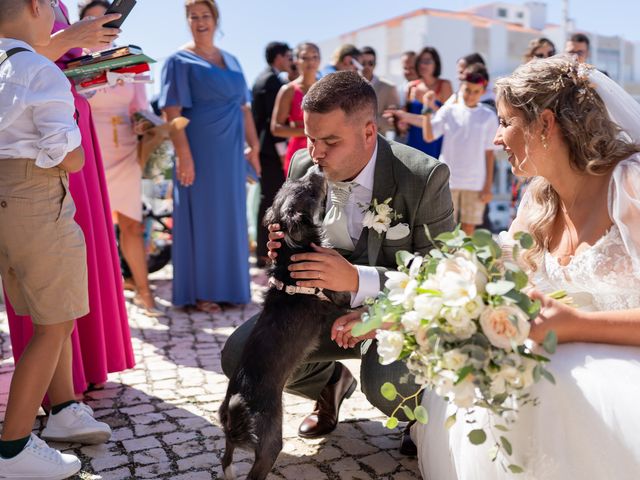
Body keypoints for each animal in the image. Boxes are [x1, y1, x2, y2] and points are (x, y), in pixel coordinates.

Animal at [219, 167, 350, 478]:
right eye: (310, 191)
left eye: (295, 181)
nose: (318, 168)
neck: (293, 249)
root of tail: (234, 416)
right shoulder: (340, 297)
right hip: (270, 444)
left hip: (231, 443)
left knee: (225, 459)